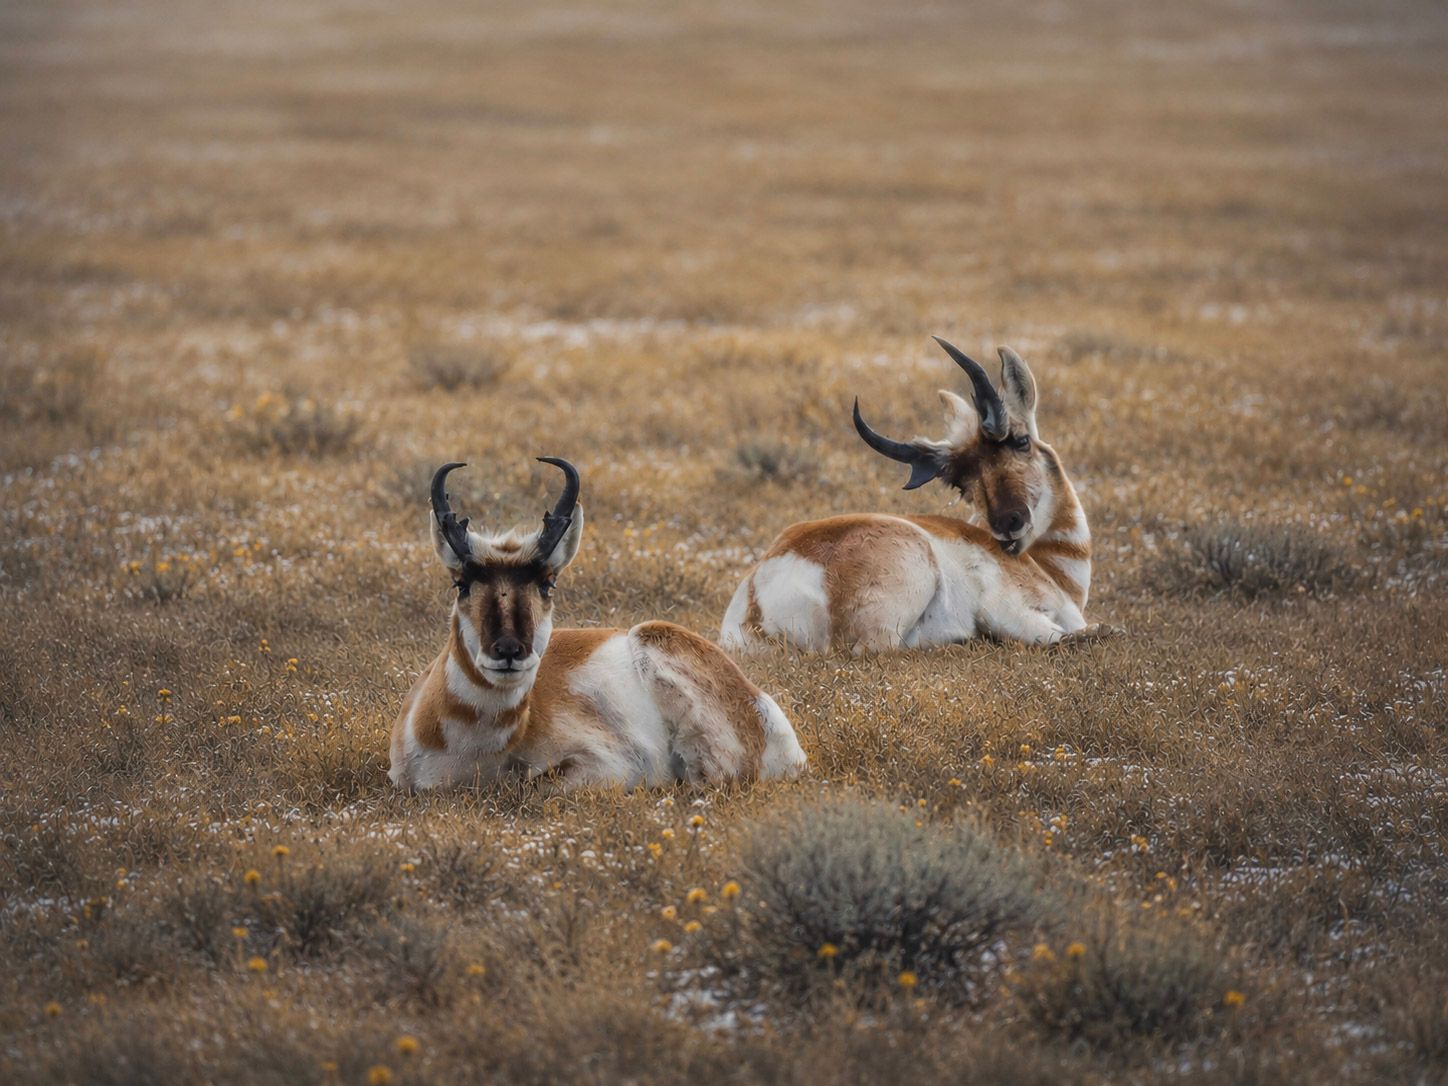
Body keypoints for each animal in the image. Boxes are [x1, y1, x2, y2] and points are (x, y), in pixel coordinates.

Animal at [722, 337, 1107, 652]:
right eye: (963, 484)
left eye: (1023, 441)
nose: (1007, 524)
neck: (1050, 567)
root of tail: (755, 601)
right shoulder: (1010, 606)